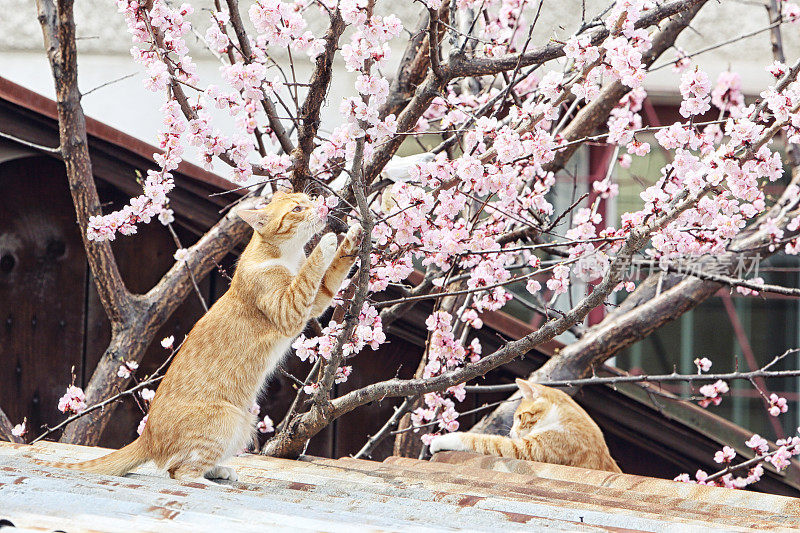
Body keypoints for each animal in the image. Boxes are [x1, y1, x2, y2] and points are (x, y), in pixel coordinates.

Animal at [43, 190, 362, 482]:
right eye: (297, 209)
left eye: (307, 199)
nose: (320, 207)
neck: (288, 255)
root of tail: (147, 435)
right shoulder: (290, 308)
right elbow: (312, 271)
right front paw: (328, 241)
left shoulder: (316, 301)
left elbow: (331, 274)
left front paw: (353, 237)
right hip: (227, 419)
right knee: (179, 473)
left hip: (243, 422)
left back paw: (220, 471)